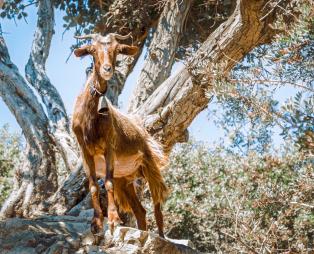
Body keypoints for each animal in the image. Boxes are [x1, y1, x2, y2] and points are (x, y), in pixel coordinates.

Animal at [72, 32, 168, 237]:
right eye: (92, 50)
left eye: (117, 49)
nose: (107, 69)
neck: (90, 118)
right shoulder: (85, 151)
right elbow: (93, 186)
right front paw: (96, 224)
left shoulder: (109, 147)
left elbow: (107, 183)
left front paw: (114, 220)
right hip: (125, 180)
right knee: (140, 211)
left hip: (149, 165)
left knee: (157, 204)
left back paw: (161, 236)